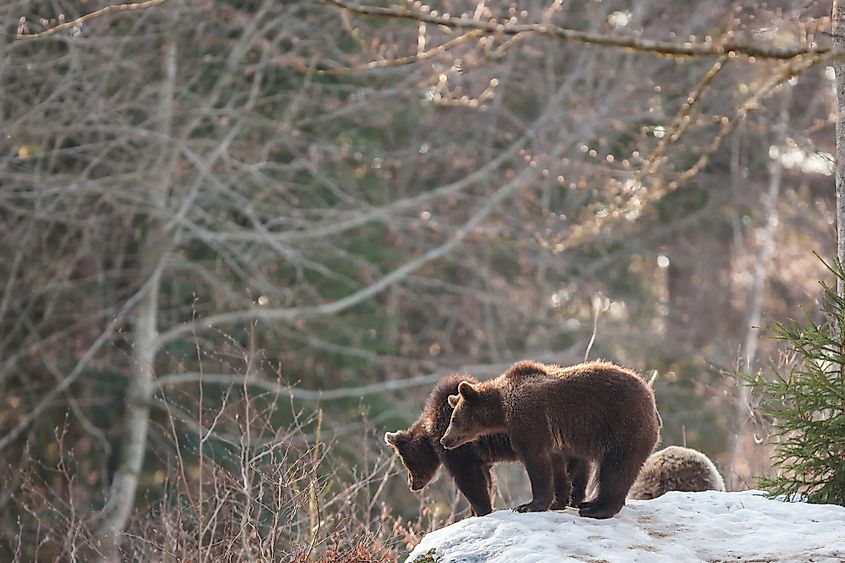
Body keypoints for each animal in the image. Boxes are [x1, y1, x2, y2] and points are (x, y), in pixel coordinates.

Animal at [384, 374, 588, 516]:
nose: (412, 484)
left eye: (405, 461)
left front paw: (481, 510)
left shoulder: (462, 453)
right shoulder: (479, 458)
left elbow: (471, 482)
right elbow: (486, 480)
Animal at [438, 362, 664, 520]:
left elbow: (536, 463)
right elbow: (557, 468)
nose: (444, 440)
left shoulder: (530, 422)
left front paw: (527, 506)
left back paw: (597, 509)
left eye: (454, 419)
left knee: (617, 468)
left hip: (623, 425)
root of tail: (653, 403)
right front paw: (558, 501)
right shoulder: (553, 439)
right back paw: (589, 504)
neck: (502, 409)